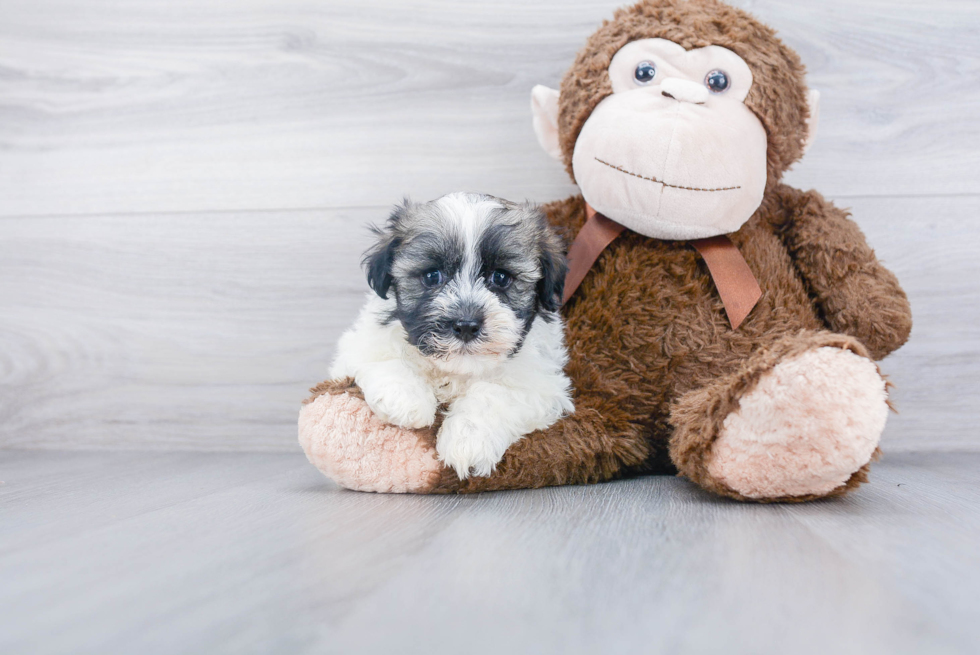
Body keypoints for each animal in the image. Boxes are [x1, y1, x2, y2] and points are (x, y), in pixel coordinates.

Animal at [330, 192, 576, 480]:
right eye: (432, 276)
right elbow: (382, 357)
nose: (466, 325)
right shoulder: (358, 345)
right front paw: (404, 398)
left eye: (501, 277)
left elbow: (495, 395)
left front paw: (467, 441)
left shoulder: (541, 384)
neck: (455, 371)